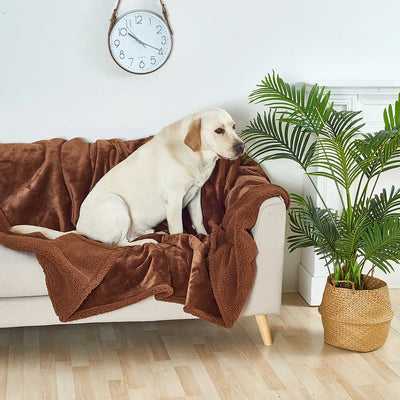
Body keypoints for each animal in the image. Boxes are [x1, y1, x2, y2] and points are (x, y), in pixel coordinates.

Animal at [10, 109, 245, 247]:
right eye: (219, 130)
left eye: (234, 127)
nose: (241, 146)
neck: (196, 156)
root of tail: (79, 229)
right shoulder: (174, 200)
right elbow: (178, 229)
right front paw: (181, 243)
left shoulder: (195, 195)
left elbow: (199, 220)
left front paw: (204, 236)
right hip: (115, 202)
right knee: (120, 244)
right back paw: (147, 241)